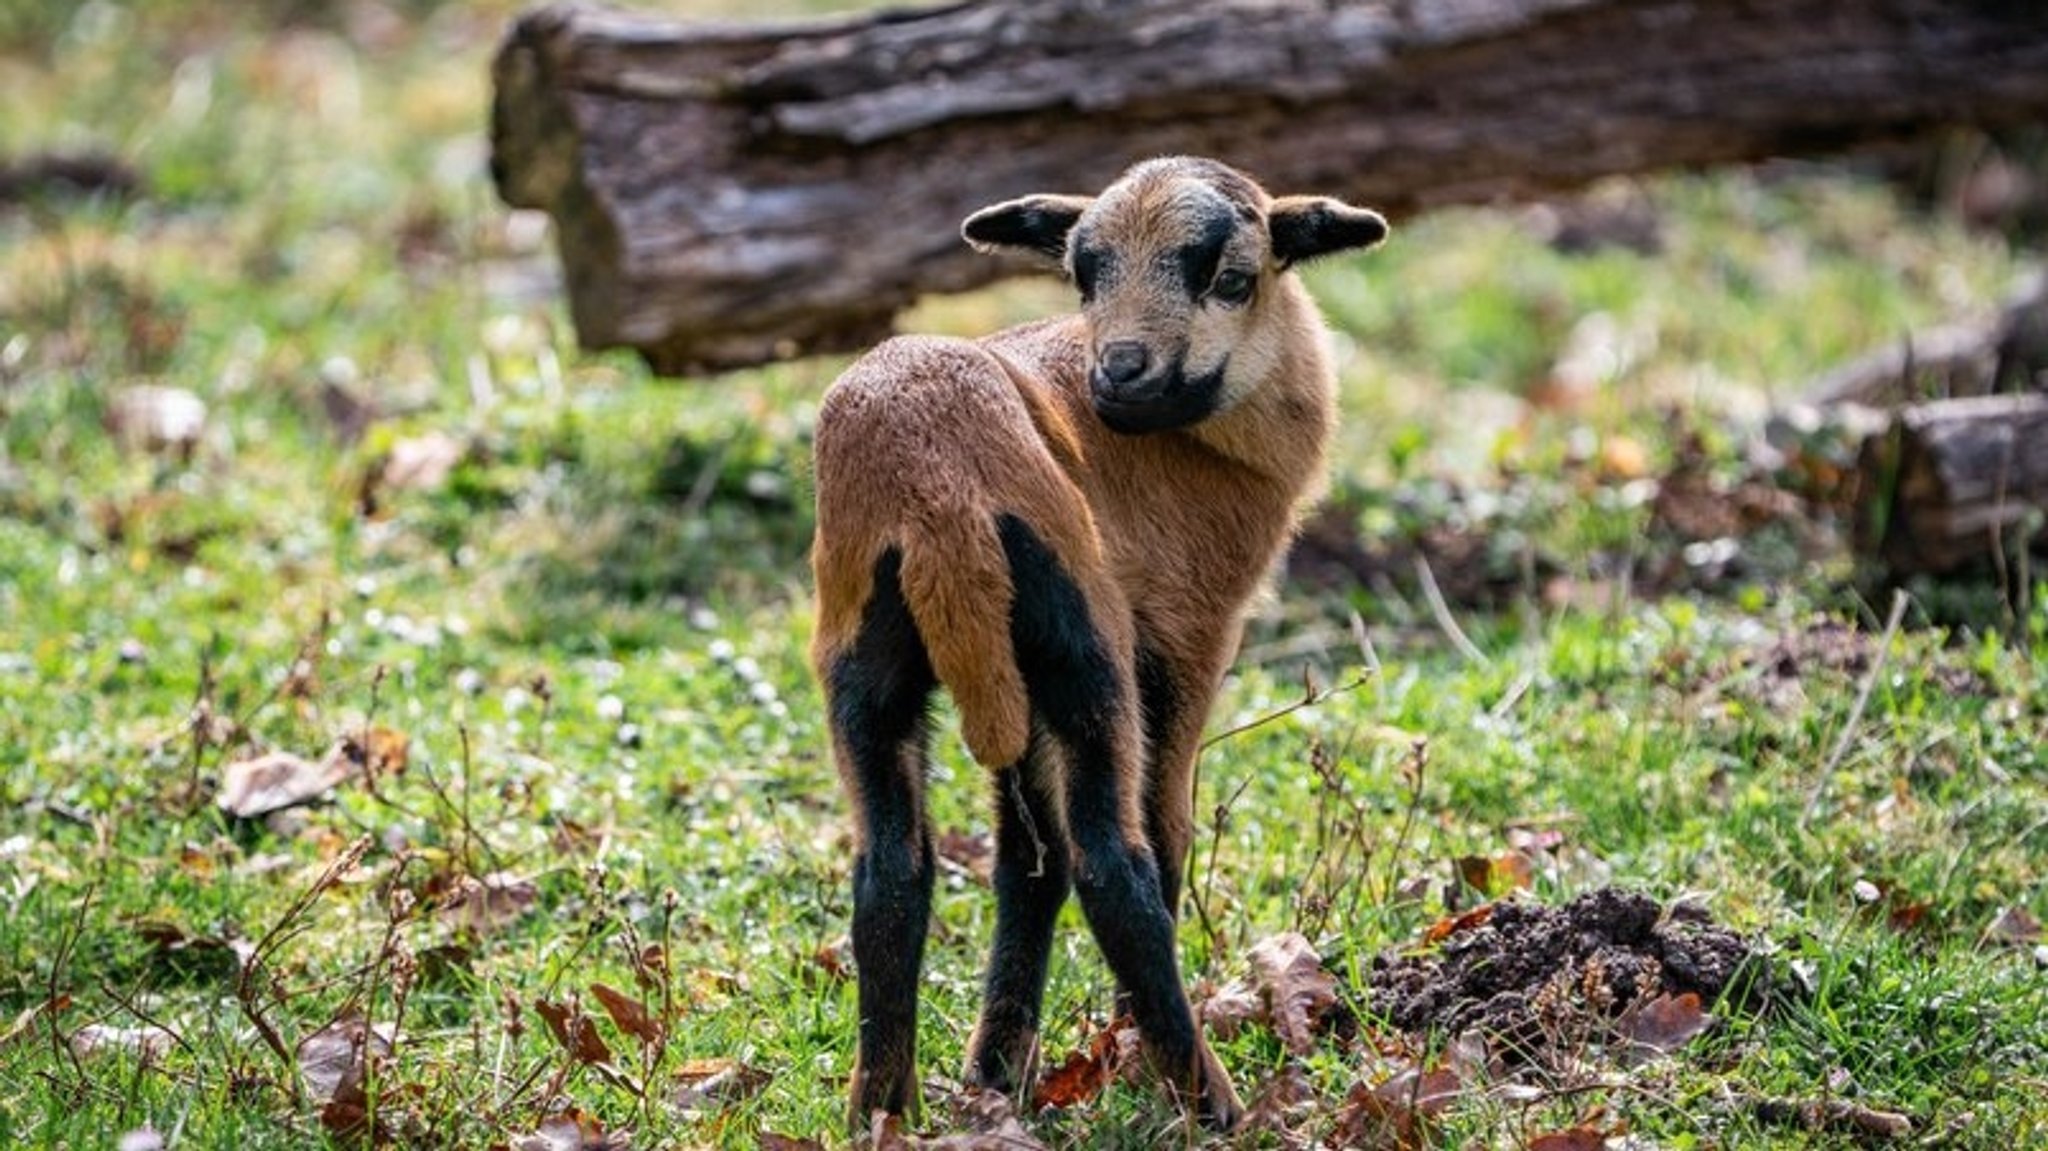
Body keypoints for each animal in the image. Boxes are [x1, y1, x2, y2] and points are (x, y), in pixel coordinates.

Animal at [806, 154, 1384, 1130]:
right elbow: (1161, 831)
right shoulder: (1187, 635)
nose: (1118, 373)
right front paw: (1116, 1053)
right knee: (1115, 864)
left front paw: (997, 1072)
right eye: (1083, 274)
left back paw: (882, 1111)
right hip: (1083, 649)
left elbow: (1024, 865)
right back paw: (1210, 1102)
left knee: (891, 873)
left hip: (870, 659)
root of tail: (931, 491)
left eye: (1231, 277)